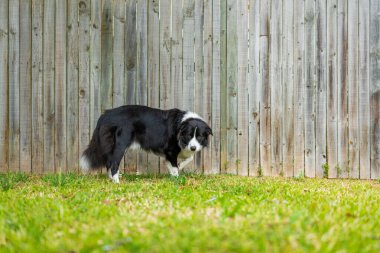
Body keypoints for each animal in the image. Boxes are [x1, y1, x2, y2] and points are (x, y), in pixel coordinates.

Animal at [79, 104, 212, 183]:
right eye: (189, 135)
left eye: (199, 136)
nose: (193, 147)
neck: (181, 124)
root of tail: (106, 114)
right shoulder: (170, 150)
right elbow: (175, 166)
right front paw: (176, 178)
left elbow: (188, 158)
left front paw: (180, 166)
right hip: (120, 145)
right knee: (114, 164)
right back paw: (117, 182)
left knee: (109, 162)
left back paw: (111, 180)